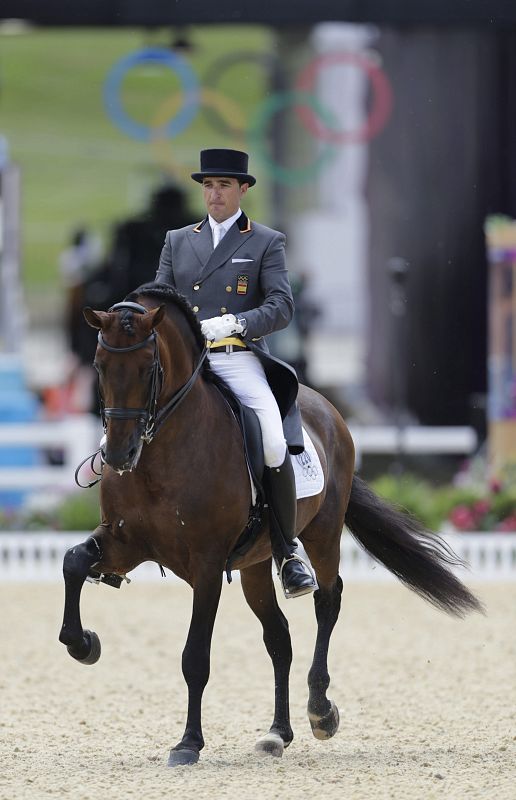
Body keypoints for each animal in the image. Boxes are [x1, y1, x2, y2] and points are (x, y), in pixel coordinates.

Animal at [58, 282, 482, 767]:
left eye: (149, 368)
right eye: (99, 365)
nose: (118, 455)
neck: (162, 451)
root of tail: (326, 408)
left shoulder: (206, 565)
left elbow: (195, 657)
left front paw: (188, 743)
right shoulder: (124, 542)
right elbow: (73, 562)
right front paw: (84, 643)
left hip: (323, 533)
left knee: (327, 600)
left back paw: (320, 711)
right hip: (256, 564)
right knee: (279, 636)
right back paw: (278, 733)